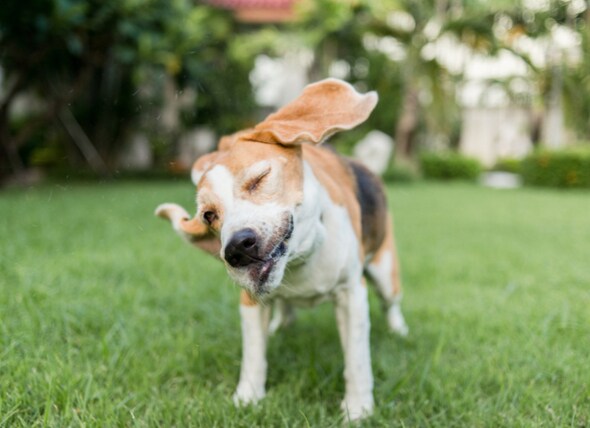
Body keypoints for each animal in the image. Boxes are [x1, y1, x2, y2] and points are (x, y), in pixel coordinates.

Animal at [155, 77, 410, 422]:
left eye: (259, 179)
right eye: (209, 215)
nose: (236, 249)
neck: (300, 259)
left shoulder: (351, 294)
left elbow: (356, 360)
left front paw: (358, 409)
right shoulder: (249, 302)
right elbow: (253, 356)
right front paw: (247, 398)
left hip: (384, 273)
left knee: (391, 303)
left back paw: (399, 330)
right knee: (284, 308)